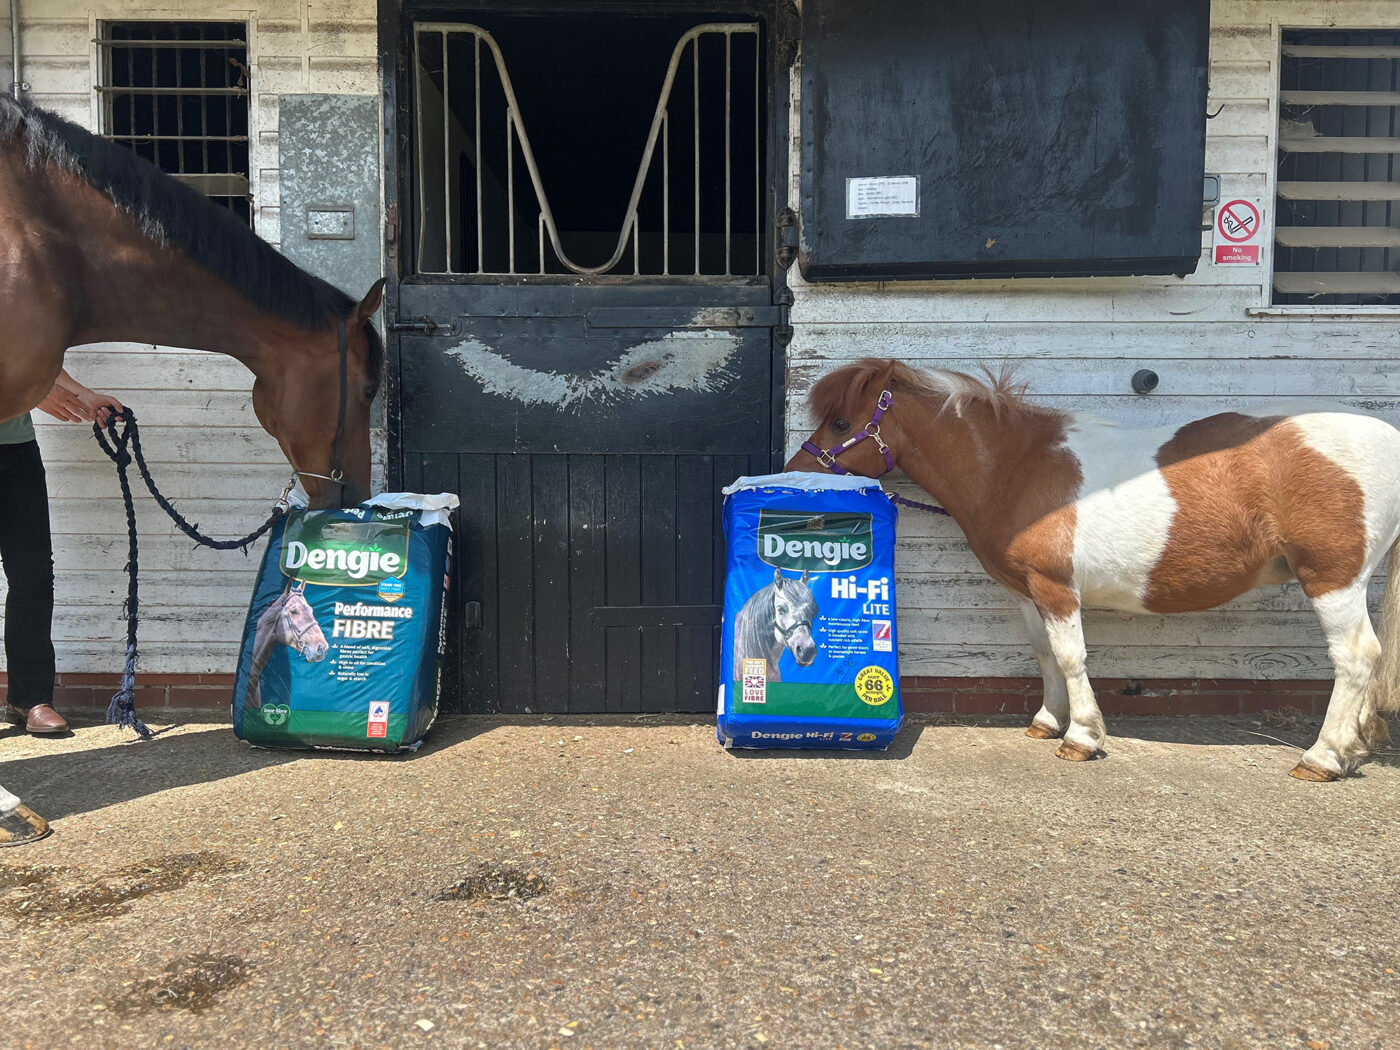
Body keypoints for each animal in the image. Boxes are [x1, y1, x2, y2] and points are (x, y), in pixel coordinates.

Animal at [789, 361, 1400, 784]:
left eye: (841, 422)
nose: (792, 472)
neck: (1015, 467)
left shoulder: (1057, 588)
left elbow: (1070, 656)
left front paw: (1081, 736)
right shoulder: (1027, 592)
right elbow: (1043, 653)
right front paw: (1047, 720)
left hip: (1332, 578)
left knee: (1356, 658)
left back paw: (1323, 757)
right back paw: (1354, 748)